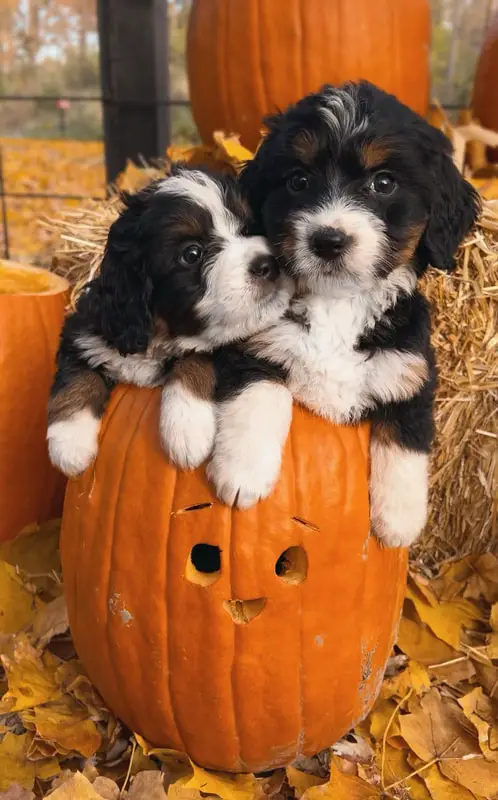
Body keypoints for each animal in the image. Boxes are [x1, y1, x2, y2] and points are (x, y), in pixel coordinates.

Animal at [46, 164, 292, 476]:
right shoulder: (85, 332)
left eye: (249, 228)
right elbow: (76, 378)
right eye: (192, 254)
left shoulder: (218, 348)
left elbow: (195, 358)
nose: (268, 264)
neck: (158, 338)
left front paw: (187, 429)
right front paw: (69, 444)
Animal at [199, 81, 482, 548]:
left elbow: (405, 444)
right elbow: (260, 396)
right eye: (298, 181)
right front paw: (243, 471)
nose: (328, 240)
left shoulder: (410, 374)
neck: (339, 305)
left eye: (383, 183)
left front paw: (400, 520)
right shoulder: (255, 346)